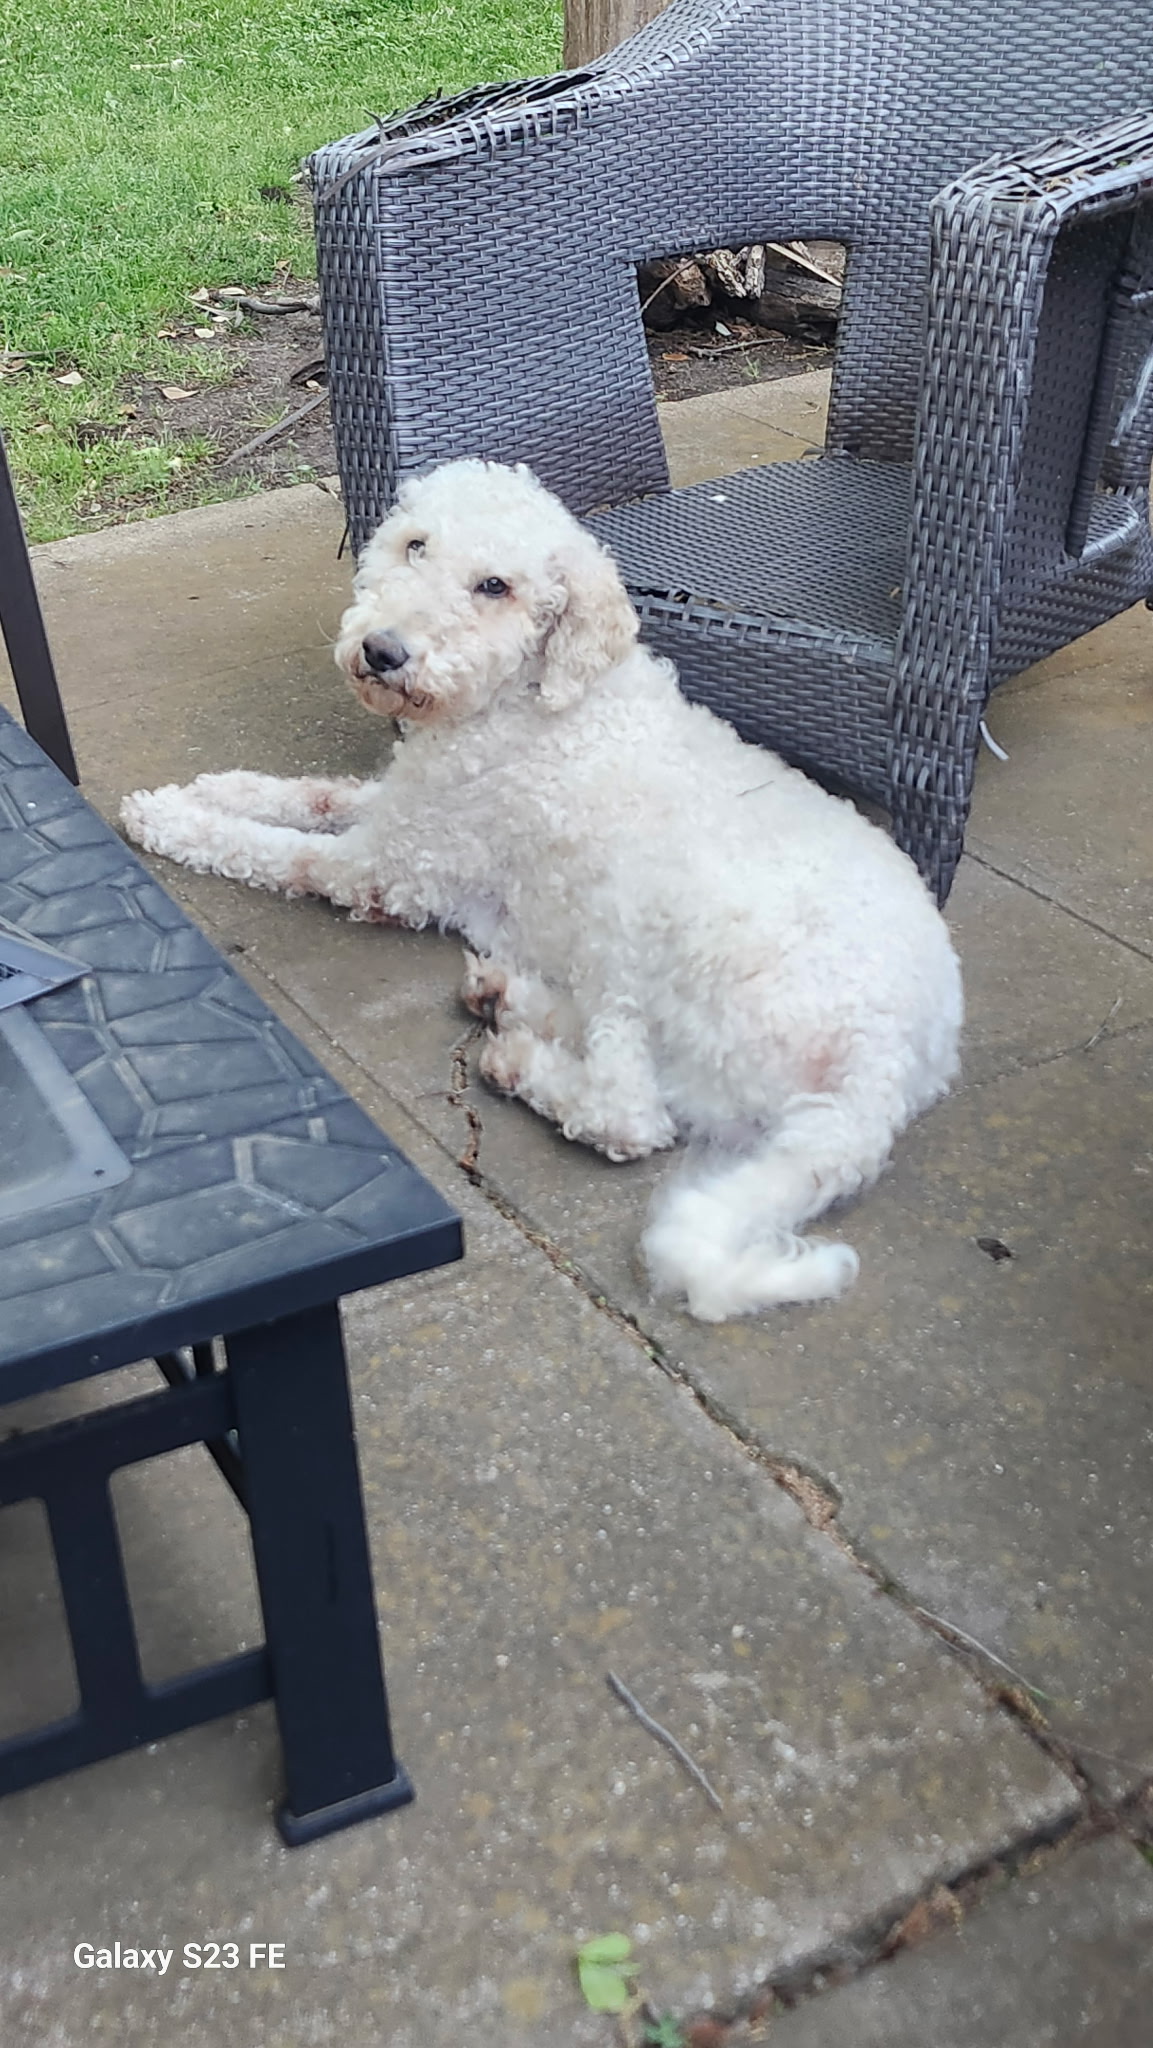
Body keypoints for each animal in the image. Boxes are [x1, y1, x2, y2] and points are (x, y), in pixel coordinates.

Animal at [122, 458, 962, 1321]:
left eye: (496, 585)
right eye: (415, 544)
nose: (382, 650)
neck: (525, 699)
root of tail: (884, 1069)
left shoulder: (388, 871)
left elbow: (277, 852)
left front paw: (168, 818)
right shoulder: (400, 812)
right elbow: (311, 797)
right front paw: (216, 788)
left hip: (644, 946)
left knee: (630, 1117)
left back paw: (517, 1058)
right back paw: (504, 997)